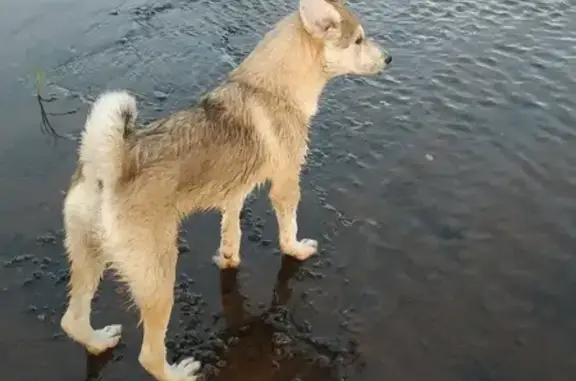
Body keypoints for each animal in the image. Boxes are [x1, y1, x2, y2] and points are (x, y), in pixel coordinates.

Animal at [59, 0, 392, 380]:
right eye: (358, 40)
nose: (389, 59)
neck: (270, 88)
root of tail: (109, 162)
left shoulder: (235, 191)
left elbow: (231, 227)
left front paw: (229, 256)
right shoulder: (286, 183)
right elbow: (288, 229)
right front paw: (296, 249)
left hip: (88, 256)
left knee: (72, 320)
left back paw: (98, 342)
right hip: (158, 278)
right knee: (149, 356)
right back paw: (178, 372)